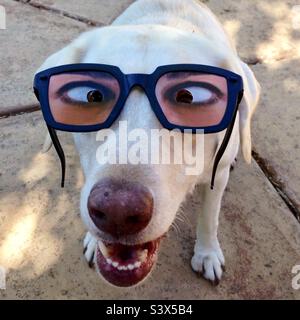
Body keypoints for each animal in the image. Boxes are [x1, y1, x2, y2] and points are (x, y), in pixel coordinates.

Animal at [37, 0, 258, 284]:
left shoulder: (216, 178)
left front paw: (207, 253)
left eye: (190, 97)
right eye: (91, 96)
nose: (117, 212)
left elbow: (209, 217)